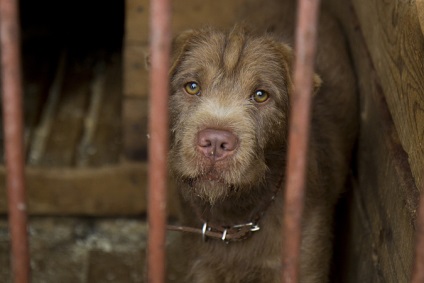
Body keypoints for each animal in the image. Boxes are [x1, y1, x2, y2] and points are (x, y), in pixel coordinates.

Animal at [168, 17, 358, 283]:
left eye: (260, 95)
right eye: (192, 87)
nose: (215, 142)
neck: (235, 216)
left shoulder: (305, 265)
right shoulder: (202, 265)